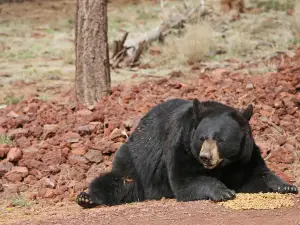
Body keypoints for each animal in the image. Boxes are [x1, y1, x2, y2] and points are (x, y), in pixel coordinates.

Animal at [75, 99, 298, 208]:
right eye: (202, 138)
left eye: (221, 139)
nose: (205, 157)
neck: (223, 164)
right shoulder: (181, 146)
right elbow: (186, 180)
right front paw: (223, 191)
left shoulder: (244, 156)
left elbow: (256, 176)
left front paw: (288, 186)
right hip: (133, 161)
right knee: (119, 182)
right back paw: (86, 198)